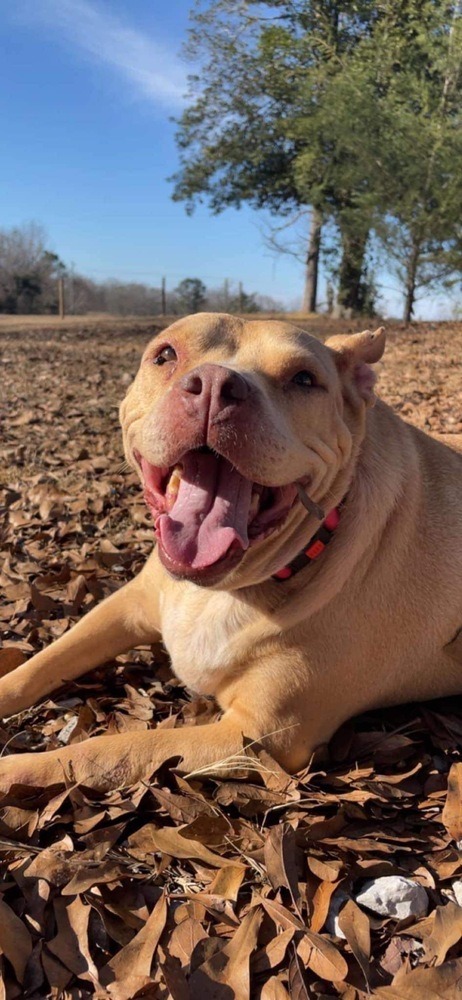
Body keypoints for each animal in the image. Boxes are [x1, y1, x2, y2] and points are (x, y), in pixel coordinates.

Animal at [0, 316, 462, 792]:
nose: (215, 385)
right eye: (165, 354)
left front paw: (12, 771)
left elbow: (104, 751)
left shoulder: (258, 735)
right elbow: (40, 664)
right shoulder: (126, 606)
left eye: (304, 379)